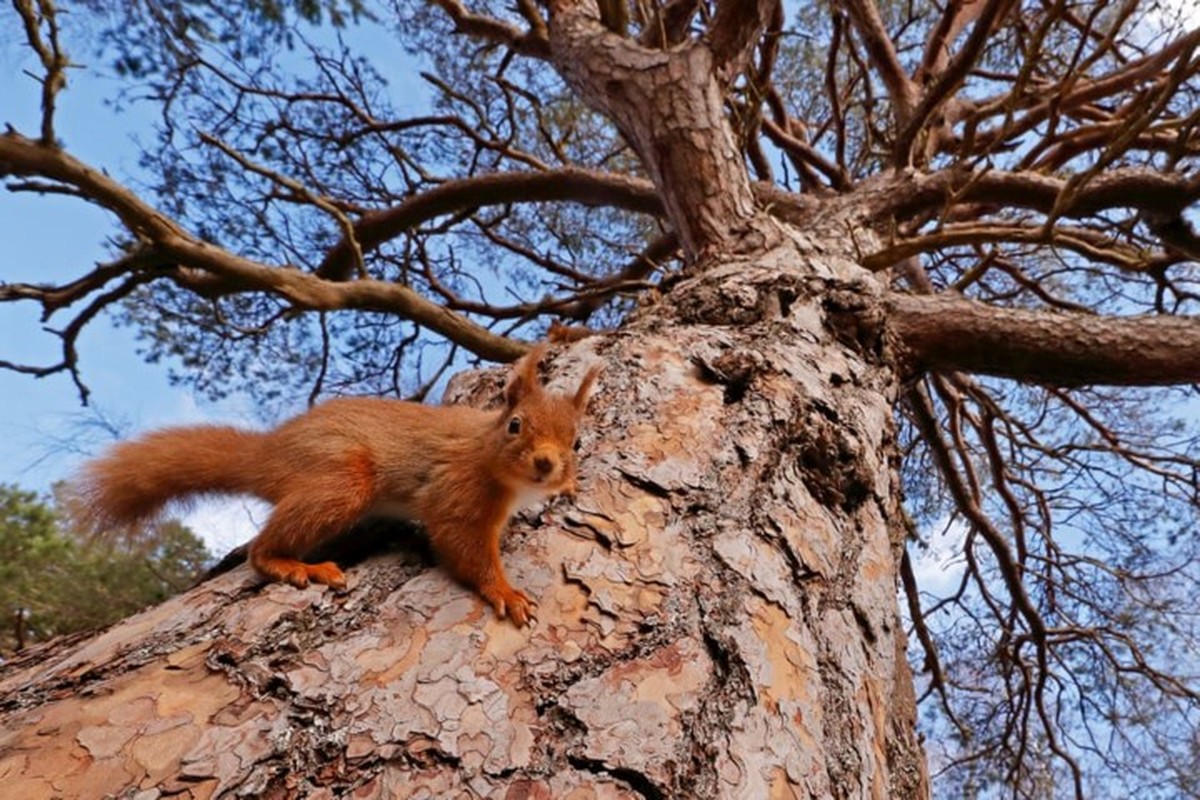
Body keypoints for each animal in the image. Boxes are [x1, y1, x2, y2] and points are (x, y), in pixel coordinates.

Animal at [77, 345, 600, 623]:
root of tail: (272, 452)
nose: (547, 464)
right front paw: (505, 592)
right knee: (261, 550)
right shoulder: (458, 491)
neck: (488, 453)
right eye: (514, 425)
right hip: (340, 479)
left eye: (576, 441)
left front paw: (568, 488)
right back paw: (292, 565)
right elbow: (463, 546)